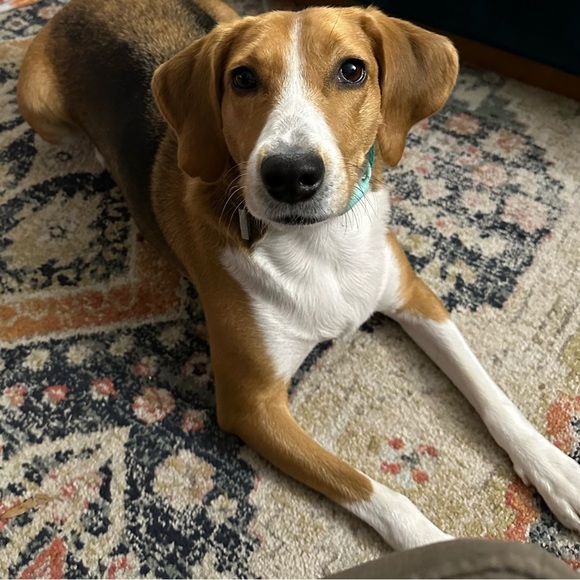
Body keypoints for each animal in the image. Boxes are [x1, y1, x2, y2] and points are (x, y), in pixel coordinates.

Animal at [17, 0, 580, 551]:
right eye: (243, 78)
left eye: (353, 71)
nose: (290, 174)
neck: (320, 244)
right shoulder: (252, 407)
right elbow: (372, 491)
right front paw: (440, 546)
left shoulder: (415, 296)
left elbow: (489, 391)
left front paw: (554, 468)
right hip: (39, 104)